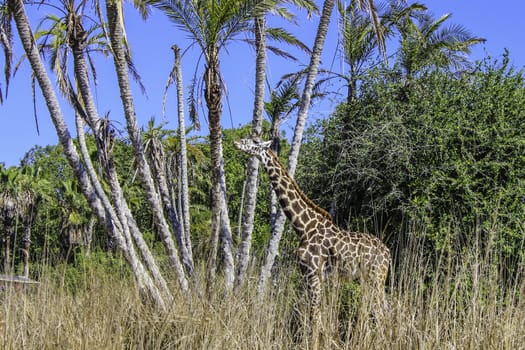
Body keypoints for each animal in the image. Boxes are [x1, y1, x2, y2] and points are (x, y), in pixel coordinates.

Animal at [235, 138, 390, 332]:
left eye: (255, 141)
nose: (237, 142)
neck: (303, 227)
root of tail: (388, 253)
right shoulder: (311, 275)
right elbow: (314, 315)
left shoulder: (313, 272)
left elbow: (314, 318)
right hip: (370, 279)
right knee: (381, 310)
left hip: (376, 277)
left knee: (381, 313)